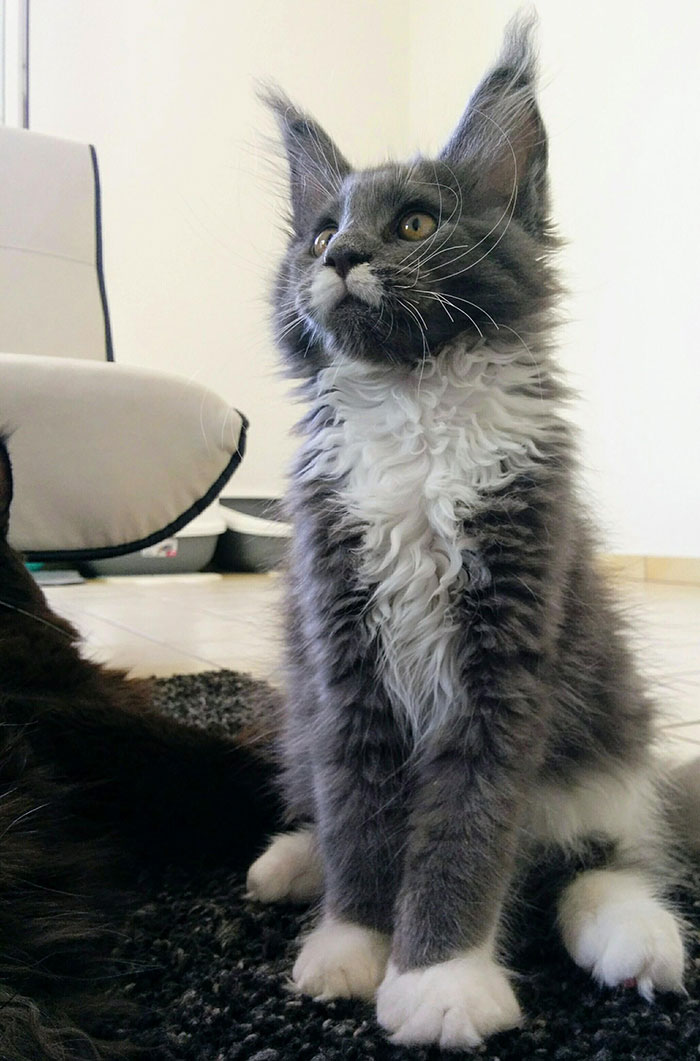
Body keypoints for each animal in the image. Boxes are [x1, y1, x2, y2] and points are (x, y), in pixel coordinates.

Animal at [246, 18, 687, 1052]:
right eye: (319, 233)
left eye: (414, 225)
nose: (339, 257)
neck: (412, 402)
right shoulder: (342, 654)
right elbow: (358, 806)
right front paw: (353, 944)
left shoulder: (504, 660)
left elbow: (468, 825)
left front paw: (438, 977)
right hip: (301, 716)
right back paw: (293, 862)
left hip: (604, 752)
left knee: (593, 859)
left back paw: (638, 939)